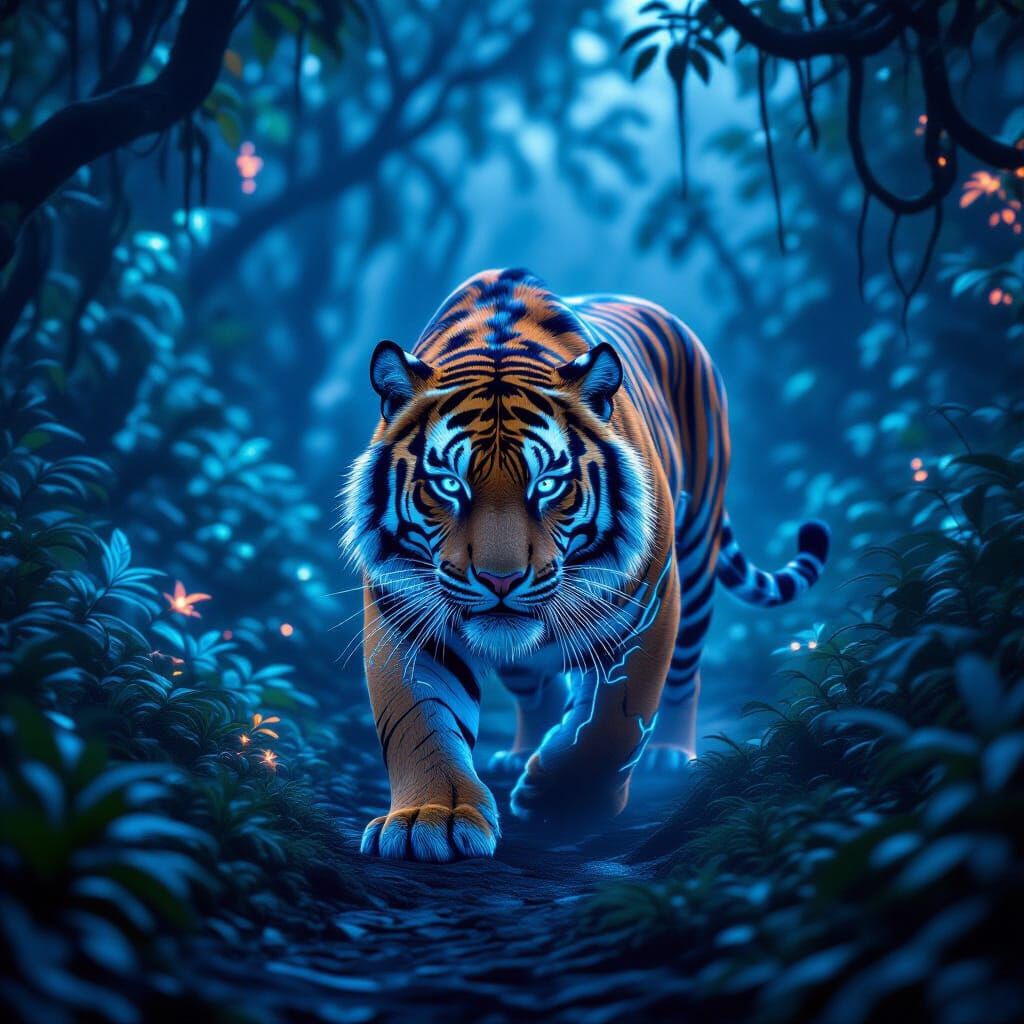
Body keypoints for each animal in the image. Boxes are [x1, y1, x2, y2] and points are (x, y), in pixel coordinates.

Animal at [340, 268, 829, 863]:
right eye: (449, 485)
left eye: (548, 484)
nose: (500, 580)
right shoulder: (405, 614)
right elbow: (420, 722)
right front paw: (430, 818)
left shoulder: (649, 604)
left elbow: (616, 719)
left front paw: (564, 802)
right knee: (536, 684)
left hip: (696, 556)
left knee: (684, 675)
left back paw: (669, 752)